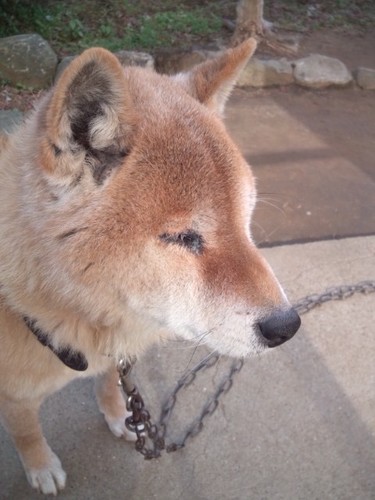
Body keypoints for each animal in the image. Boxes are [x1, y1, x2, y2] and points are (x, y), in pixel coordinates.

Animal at [0, 38, 300, 492]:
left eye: (244, 219)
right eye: (182, 237)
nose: (287, 327)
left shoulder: (115, 353)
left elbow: (111, 383)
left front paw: (119, 415)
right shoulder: (14, 396)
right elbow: (25, 430)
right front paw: (40, 466)